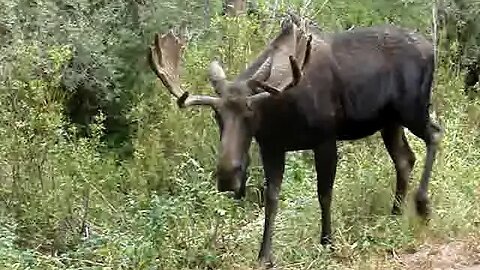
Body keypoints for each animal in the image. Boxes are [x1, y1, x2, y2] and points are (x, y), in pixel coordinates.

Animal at [147, 14, 442, 266]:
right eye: (217, 115)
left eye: (250, 112)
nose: (227, 176)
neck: (280, 109)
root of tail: (432, 49)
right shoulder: (272, 147)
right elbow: (272, 199)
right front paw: (264, 255)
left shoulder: (325, 139)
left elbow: (324, 193)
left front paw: (327, 243)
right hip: (389, 121)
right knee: (404, 158)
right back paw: (395, 213)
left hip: (412, 108)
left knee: (435, 134)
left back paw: (422, 205)